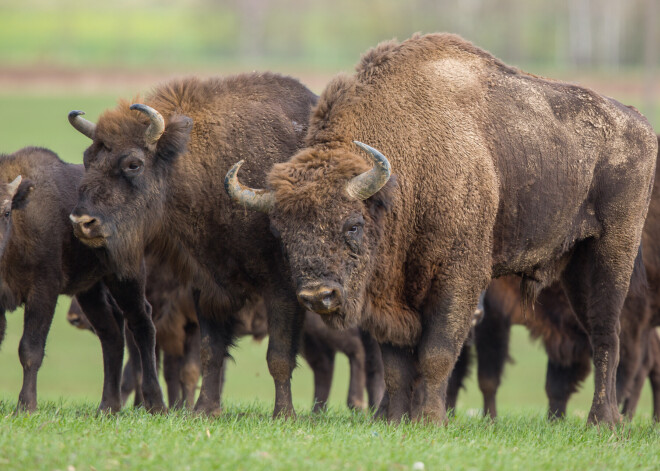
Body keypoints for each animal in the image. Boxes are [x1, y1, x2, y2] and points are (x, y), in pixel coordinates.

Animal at [0, 147, 164, 412]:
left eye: (6, 212)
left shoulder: (43, 292)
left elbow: (30, 349)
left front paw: (26, 406)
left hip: (126, 279)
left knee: (142, 324)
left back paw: (155, 403)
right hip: (90, 291)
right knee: (111, 335)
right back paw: (108, 407)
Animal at [69, 73, 320, 416]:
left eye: (133, 164)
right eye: (87, 159)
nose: (82, 222)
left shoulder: (282, 288)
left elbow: (278, 356)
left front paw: (284, 415)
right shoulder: (208, 287)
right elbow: (210, 352)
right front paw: (204, 410)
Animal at [226, 33, 656, 424]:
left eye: (352, 225)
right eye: (280, 233)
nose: (319, 295)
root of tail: (641, 124)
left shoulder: (459, 278)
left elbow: (437, 353)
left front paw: (431, 420)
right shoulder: (388, 295)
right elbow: (396, 363)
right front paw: (394, 420)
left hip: (611, 251)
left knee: (606, 334)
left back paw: (604, 421)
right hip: (574, 266)